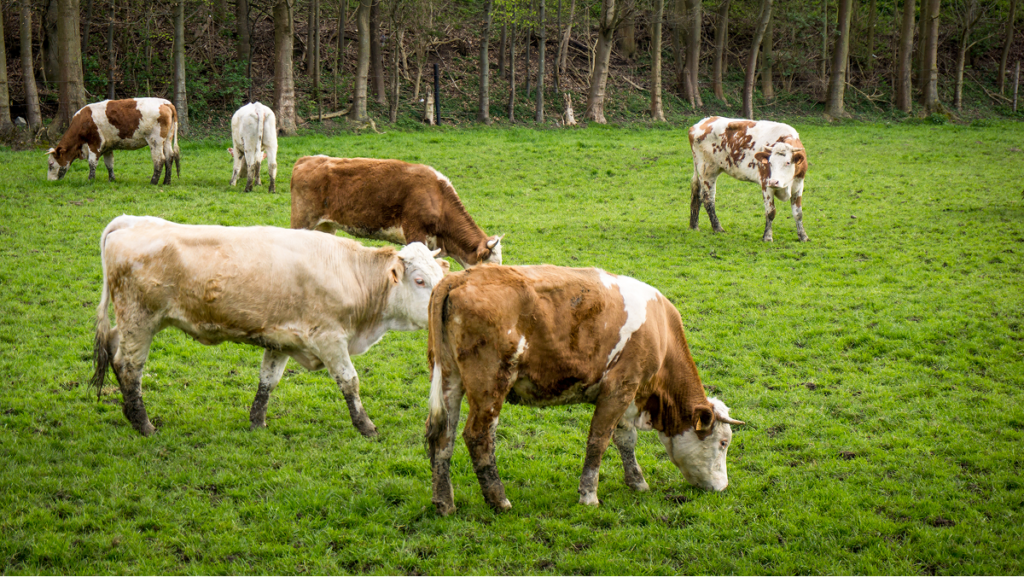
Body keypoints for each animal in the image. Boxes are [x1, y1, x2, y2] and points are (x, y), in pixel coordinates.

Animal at [47, 98, 180, 185]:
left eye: (51, 164)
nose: (50, 181)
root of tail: (165, 103)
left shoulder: (95, 143)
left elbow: (92, 163)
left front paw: (90, 180)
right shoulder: (107, 147)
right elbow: (109, 163)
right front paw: (112, 179)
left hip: (155, 140)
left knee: (159, 159)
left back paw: (153, 181)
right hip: (167, 139)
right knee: (169, 157)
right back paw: (166, 182)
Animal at [89, 215, 449, 438]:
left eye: (440, 276)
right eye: (419, 280)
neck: (350, 273)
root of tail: (130, 221)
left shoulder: (282, 341)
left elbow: (267, 382)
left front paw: (257, 423)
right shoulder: (330, 339)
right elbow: (350, 382)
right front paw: (366, 426)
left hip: (129, 322)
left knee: (114, 351)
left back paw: (130, 415)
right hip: (140, 320)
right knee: (129, 366)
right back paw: (143, 424)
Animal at [425, 265, 744, 515]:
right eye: (723, 443)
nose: (723, 487)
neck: (660, 331)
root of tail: (460, 278)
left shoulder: (628, 394)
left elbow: (625, 440)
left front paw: (637, 482)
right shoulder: (619, 388)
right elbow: (599, 441)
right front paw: (589, 495)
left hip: (449, 379)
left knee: (442, 436)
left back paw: (444, 503)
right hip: (491, 384)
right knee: (478, 436)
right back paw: (498, 499)